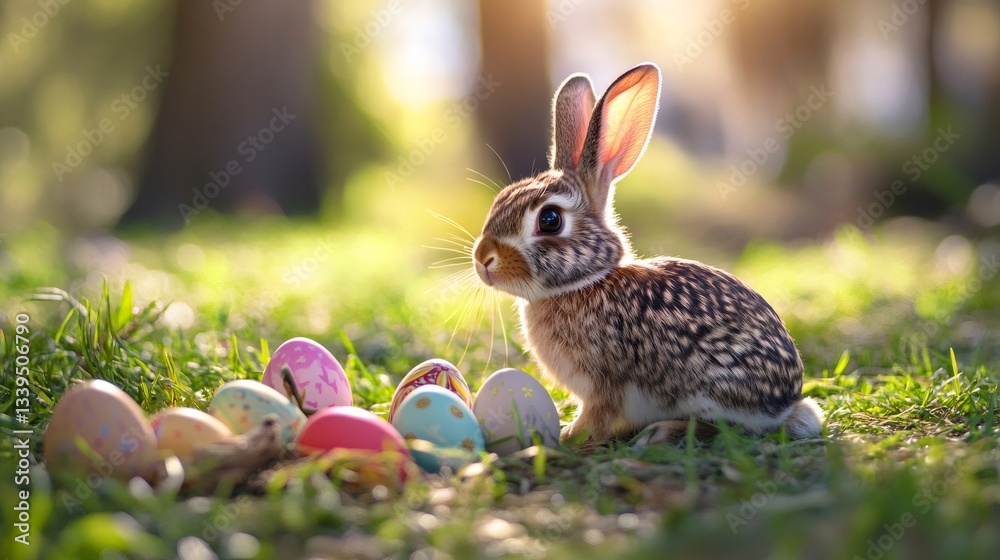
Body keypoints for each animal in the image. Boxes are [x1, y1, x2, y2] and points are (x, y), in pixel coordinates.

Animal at [471, 63, 823, 446]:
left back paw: (662, 432)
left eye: (549, 220)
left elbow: (597, 415)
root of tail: (787, 402)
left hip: (710, 385)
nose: (483, 259)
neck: (585, 283)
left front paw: (569, 436)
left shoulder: (606, 385)